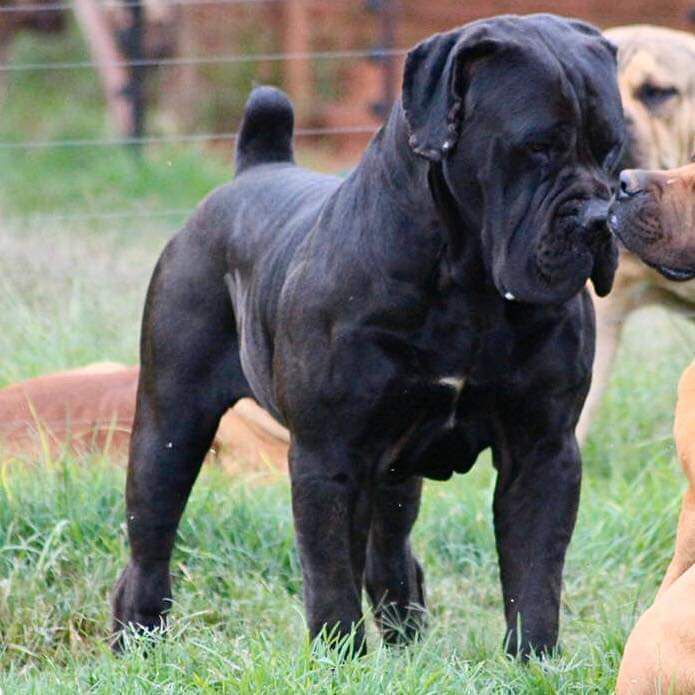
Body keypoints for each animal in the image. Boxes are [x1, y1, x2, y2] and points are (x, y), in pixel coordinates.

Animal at [113, 14, 624, 656]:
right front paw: (340, 659)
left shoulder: (543, 450)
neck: (469, 284)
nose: (600, 219)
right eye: (537, 149)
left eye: (612, 149)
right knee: (151, 540)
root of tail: (253, 169)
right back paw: (137, 640)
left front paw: (533, 660)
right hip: (170, 424)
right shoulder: (329, 454)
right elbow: (330, 573)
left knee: (389, 553)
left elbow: (535, 575)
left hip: (395, 471)